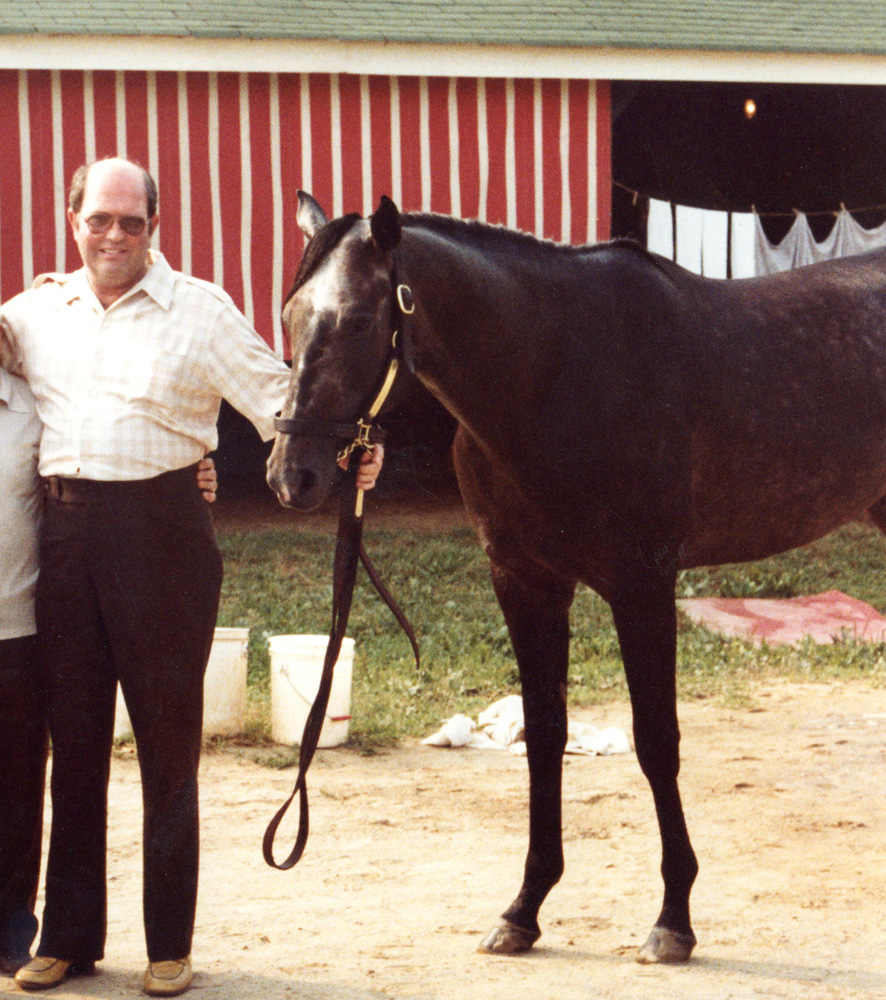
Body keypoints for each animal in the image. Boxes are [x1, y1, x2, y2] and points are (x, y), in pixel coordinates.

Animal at [266, 191, 886, 964]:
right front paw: (524, 910)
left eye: (356, 318)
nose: (291, 476)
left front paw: (674, 920)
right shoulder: (526, 583)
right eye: (288, 312)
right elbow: (544, 736)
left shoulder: (643, 585)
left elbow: (657, 744)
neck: (555, 374)